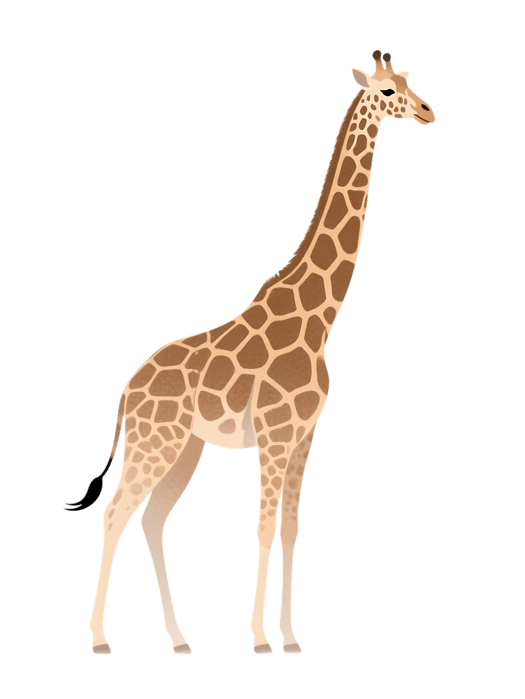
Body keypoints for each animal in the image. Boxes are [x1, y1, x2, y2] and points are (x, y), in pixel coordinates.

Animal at [65, 51, 436, 656]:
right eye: (386, 91)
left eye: (407, 81)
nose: (427, 110)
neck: (320, 320)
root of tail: (126, 392)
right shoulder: (275, 435)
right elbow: (262, 529)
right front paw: (261, 638)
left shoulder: (306, 436)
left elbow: (292, 529)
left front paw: (291, 636)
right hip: (154, 444)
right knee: (117, 514)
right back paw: (99, 638)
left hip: (185, 449)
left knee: (152, 520)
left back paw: (179, 638)